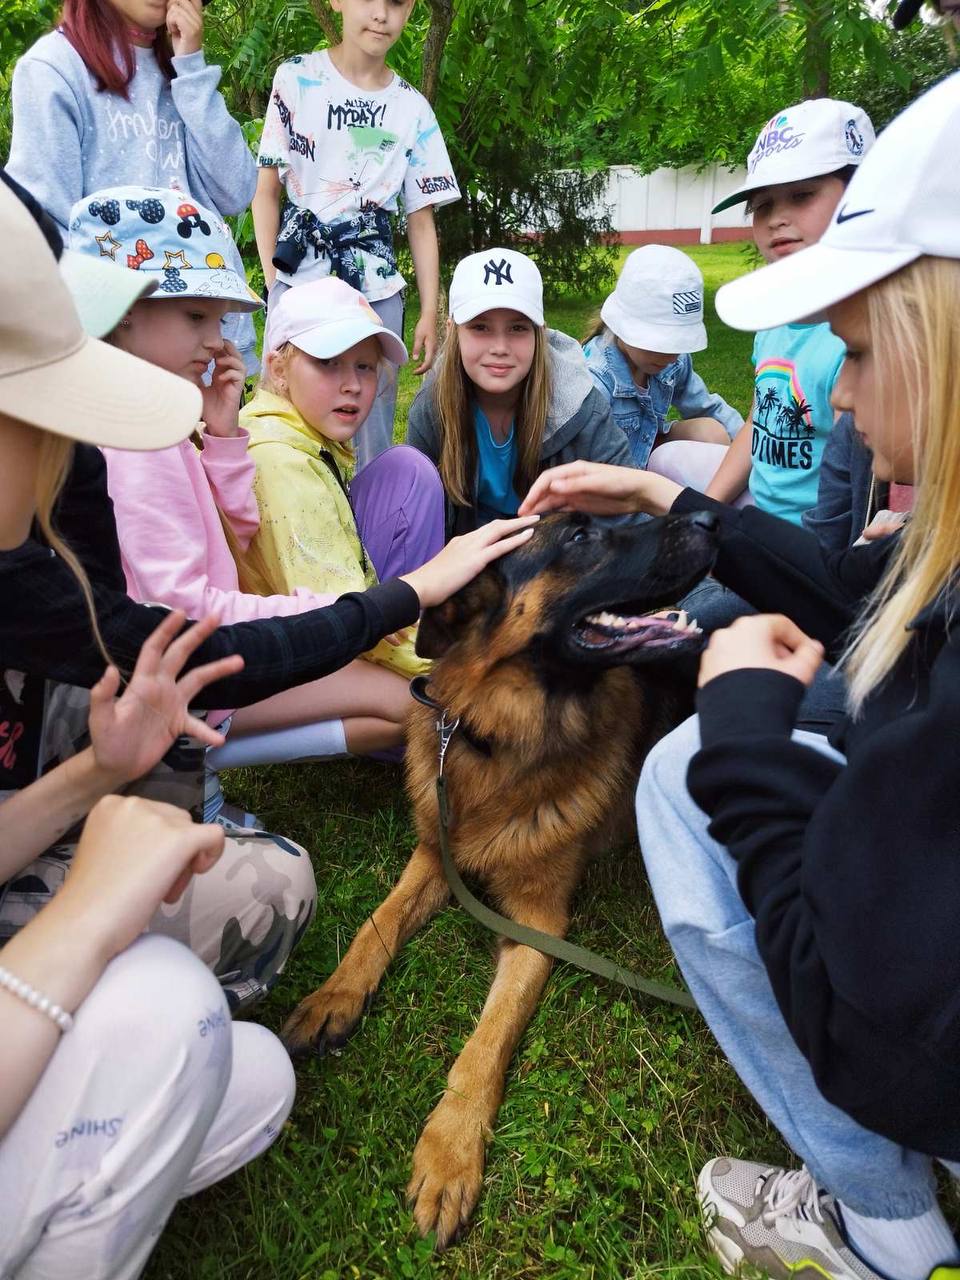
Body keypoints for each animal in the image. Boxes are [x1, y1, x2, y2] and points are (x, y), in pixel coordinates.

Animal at [281, 509, 716, 1249]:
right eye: (578, 537)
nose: (713, 518)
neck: (499, 742)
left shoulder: (539, 924)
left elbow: (486, 1041)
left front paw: (450, 1153)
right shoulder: (434, 856)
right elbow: (376, 925)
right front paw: (332, 995)